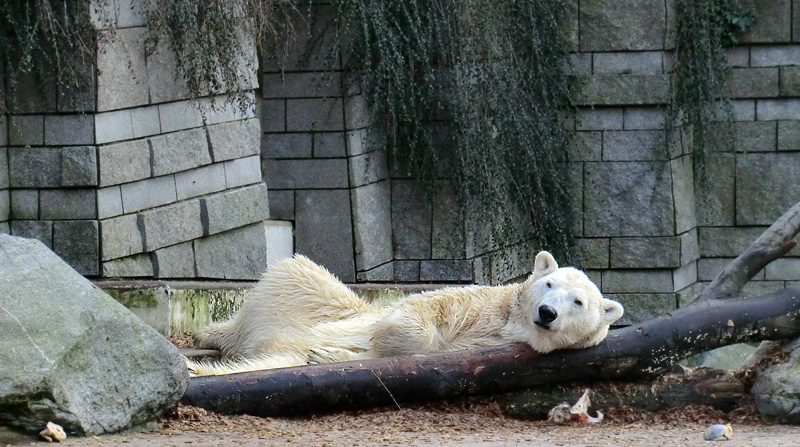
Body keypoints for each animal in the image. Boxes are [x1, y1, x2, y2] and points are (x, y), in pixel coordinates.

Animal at [189, 250, 624, 376]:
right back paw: (210, 334)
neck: (511, 324)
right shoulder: (480, 303)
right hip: (309, 297)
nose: (547, 312)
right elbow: (424, 308)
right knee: (292, 273)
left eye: (578, 302)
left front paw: (330, 355)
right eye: (550, 284)